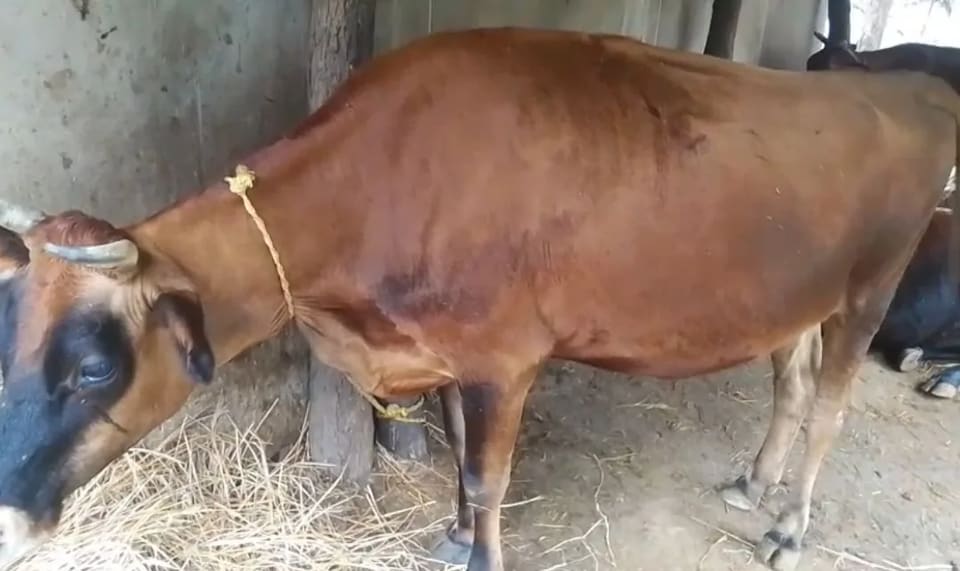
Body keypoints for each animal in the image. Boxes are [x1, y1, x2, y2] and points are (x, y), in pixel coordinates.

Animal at [0, 28, 958, 571]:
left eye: (93, 367)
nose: (8, 505)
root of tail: (903, 84)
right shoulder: (448, 353)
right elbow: (459, 450)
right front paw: (457, 535)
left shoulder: (503, 355)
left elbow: (485, 472)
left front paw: (481, 554)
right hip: (798, 297)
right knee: (792, 384)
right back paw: (753, 481)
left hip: (874, 283)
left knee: (830, 409)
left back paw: (790, 528)